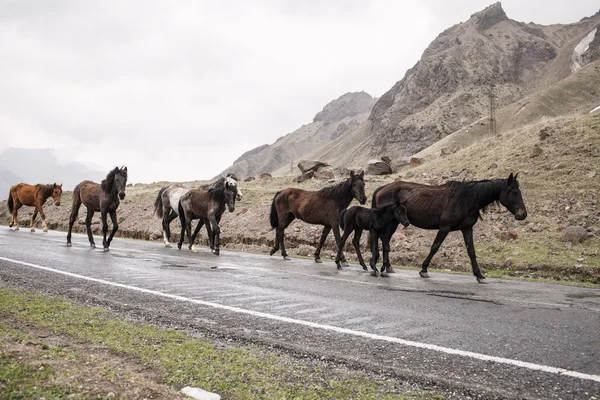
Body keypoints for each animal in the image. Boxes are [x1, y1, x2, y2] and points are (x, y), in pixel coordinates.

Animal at [372, 173, 528, 282]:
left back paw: (387, 267)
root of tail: (382, 188)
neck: (467, 199)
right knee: (384, 241)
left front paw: (479, 275)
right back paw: (384, 267)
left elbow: (471, 252)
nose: (523, 214)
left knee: (385, 241)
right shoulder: (444, 228)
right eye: (514, 191)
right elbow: (435, 247)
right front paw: (424, 270)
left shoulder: (467, 229)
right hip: (392, 223)